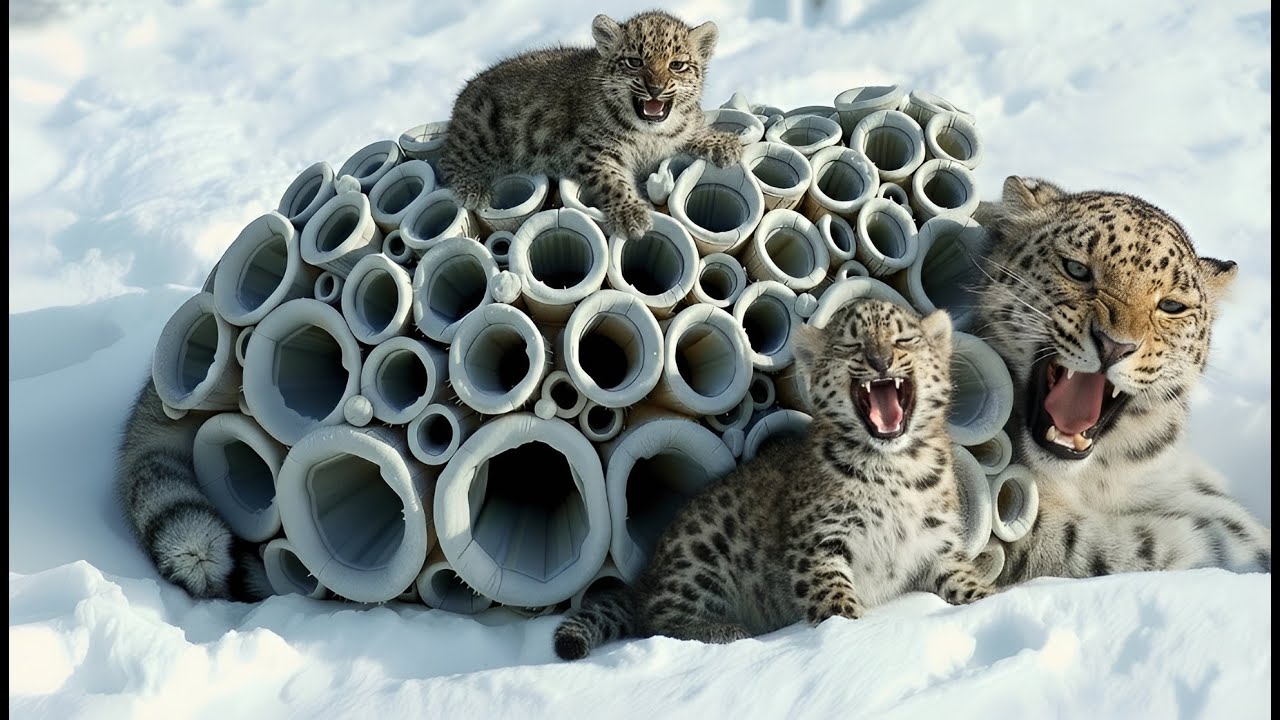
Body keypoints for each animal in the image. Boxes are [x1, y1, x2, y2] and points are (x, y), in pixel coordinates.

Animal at [437, 10, 743, 240]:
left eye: (676, 65)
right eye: (634, 62)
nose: (655, 89)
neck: (649, 135)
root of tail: (462, 97)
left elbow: (691, 130)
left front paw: (724, 144)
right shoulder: (591, 151)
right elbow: (613, 180)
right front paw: (631, 214)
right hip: (483, 131)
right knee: (449, 158)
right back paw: (473, 189)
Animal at [553, 299, 992, 661]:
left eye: (903, 340)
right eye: (852, 345)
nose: (881, 360)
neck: (895, 465)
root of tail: (644, 579)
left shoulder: (937, 545)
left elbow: (966, 582)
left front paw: (993, 600)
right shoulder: (817, 545)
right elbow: (834, 602)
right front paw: (850, 638)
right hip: (703, 550)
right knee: (656, 620)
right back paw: (726, 631)